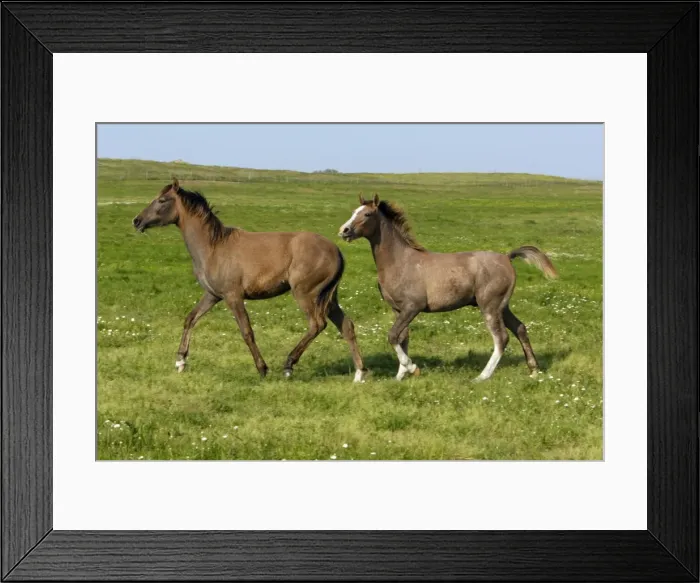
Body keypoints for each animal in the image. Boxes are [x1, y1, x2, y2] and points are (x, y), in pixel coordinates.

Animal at [132, 178, 367, 382]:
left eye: (162, 200)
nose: (136, 221)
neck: (213, 247)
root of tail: (336, 251)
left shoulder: (233, 297)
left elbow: (247, 332)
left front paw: (262, 369)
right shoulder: (212, 295)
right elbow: (190, 319)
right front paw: (180, 361)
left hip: (305, 294)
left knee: (317, 324)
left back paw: (289, 365)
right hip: (329, 297)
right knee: (346, 326)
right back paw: (359, 373)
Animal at [337, 193, 558, 382]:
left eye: (367, 214)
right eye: (353, 211)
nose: (343, 231)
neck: (400, 261)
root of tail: (507, 257)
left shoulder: (412, 307)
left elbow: (392, 336)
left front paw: (412, 368)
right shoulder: (398, 309)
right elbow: (402, 338)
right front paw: (400, 376)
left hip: (490, 306)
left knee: (501, 338)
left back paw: (482, 376)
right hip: (502, 307)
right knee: (520, 328)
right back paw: (534, 370)